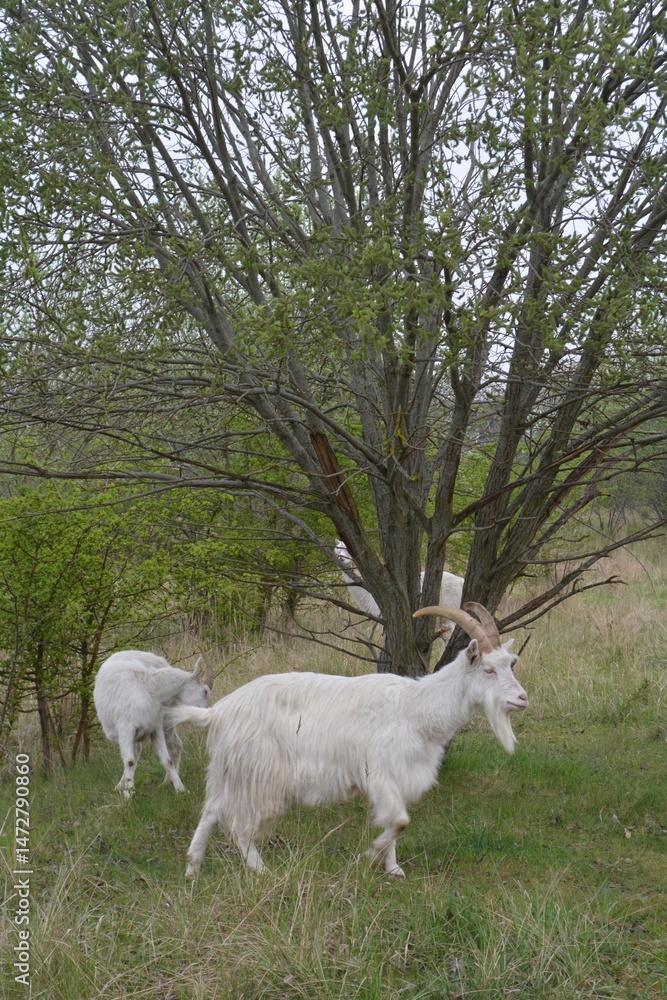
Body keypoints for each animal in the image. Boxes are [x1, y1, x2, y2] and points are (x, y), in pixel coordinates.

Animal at [93, 650, 213, 796]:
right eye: (205, 691)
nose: (204, 715)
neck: (148, 686)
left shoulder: (155, 727)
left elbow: (167, 760)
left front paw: (181, 790)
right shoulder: (126, 728)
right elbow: (129, 761)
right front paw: (128, 795)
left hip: (166, 722)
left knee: (174, 746)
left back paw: (164, 782)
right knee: (135, 755)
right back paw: (121, 786)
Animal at [166, 603, 527, 877]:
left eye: (511, 664)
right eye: (488, 670)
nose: (522, 699)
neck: (416, 708)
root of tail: (220, 711)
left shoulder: (399, 778)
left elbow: (398, 822)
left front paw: (393, 868)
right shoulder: (380, 772)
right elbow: (399, 822)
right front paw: (371, 855)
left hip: (229, 770)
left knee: (211, 810)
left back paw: (192, 867)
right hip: (262, 775)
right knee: (240, 826)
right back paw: (261, 870)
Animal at [334, 540, 464, 644]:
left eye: (348, 549)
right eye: (337, 549)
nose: (340, 558)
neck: (368, 596)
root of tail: (462, 581)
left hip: (448, 614)